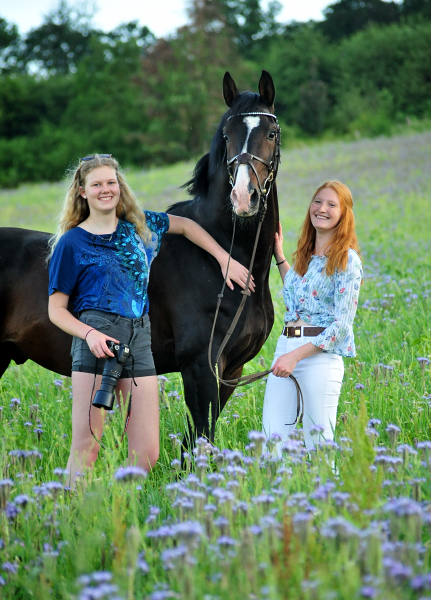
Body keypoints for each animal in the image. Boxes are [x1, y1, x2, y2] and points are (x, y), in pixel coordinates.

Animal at [0, 71, 280, 446]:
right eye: (227, 136)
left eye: (271, 133)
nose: (243, 198)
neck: (223, 258)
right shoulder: (200, 368)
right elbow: (200, 440)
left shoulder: (231, 371)